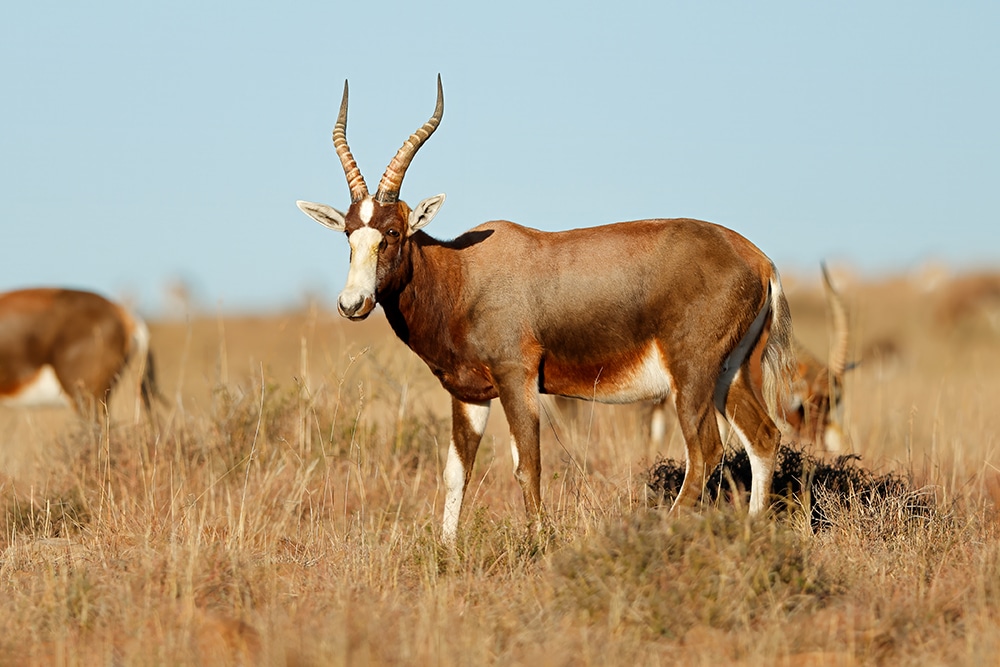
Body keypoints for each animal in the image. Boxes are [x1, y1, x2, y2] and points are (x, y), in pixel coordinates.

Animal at [296, 77, 797, 541]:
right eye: (349, 233)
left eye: (393, 232)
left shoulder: (517, 379)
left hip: (692, 375)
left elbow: (528, 465)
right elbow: (457, 472)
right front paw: (446, 550)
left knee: (706, 451)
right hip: (731, 373)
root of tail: (760, 260)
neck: (465, 272)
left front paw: (537, 543)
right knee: (763, 438)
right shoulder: (470, 394)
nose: (352, 304)